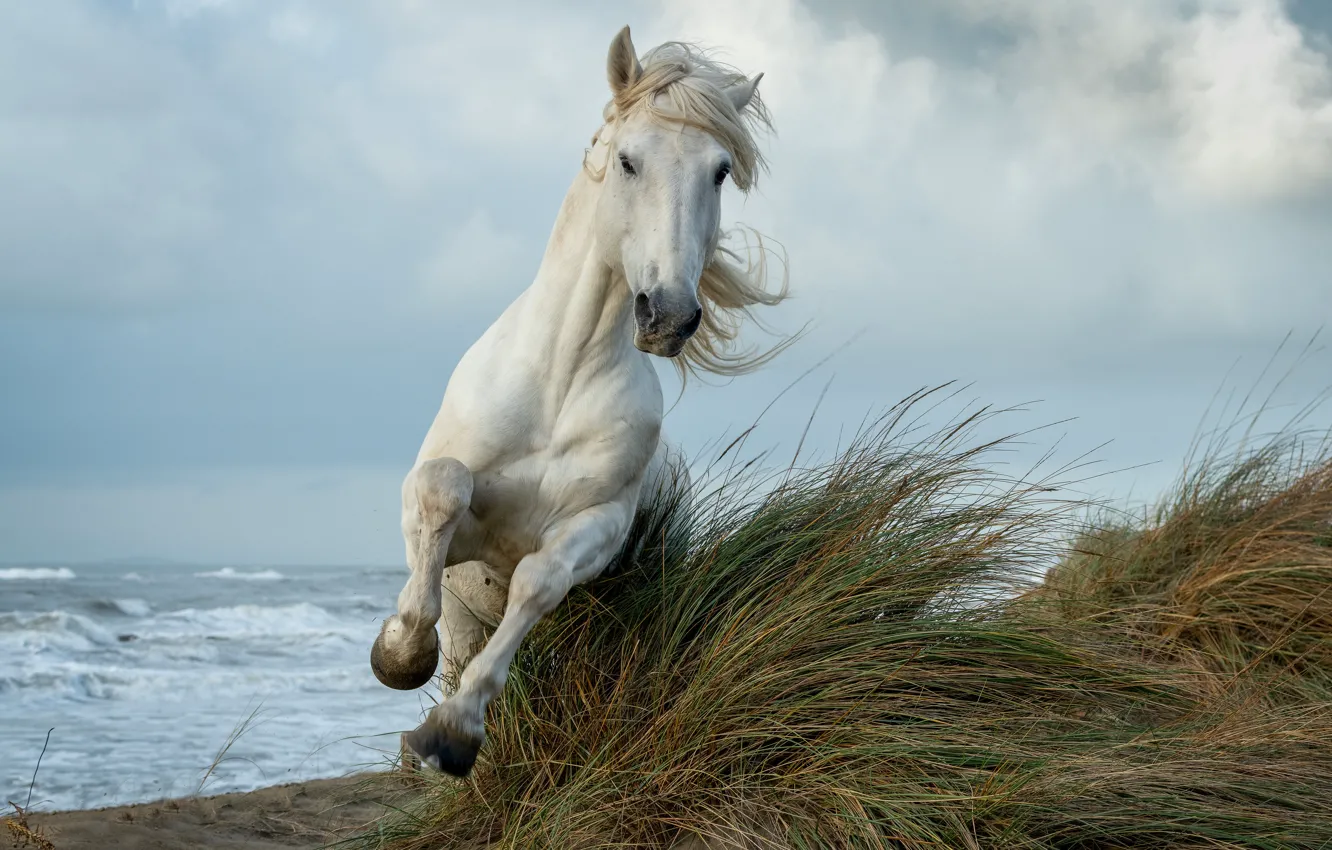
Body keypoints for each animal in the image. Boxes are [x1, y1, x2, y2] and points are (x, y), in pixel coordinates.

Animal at [370, 25, 790, 777]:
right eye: (627, 161)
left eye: (718, 170)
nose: (669, 315)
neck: (558, 382)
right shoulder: (458, 528)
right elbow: (444, 489)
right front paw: (398, 655)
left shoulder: (595, 528)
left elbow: (539, 579)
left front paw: (452, 733)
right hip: (467, 613)